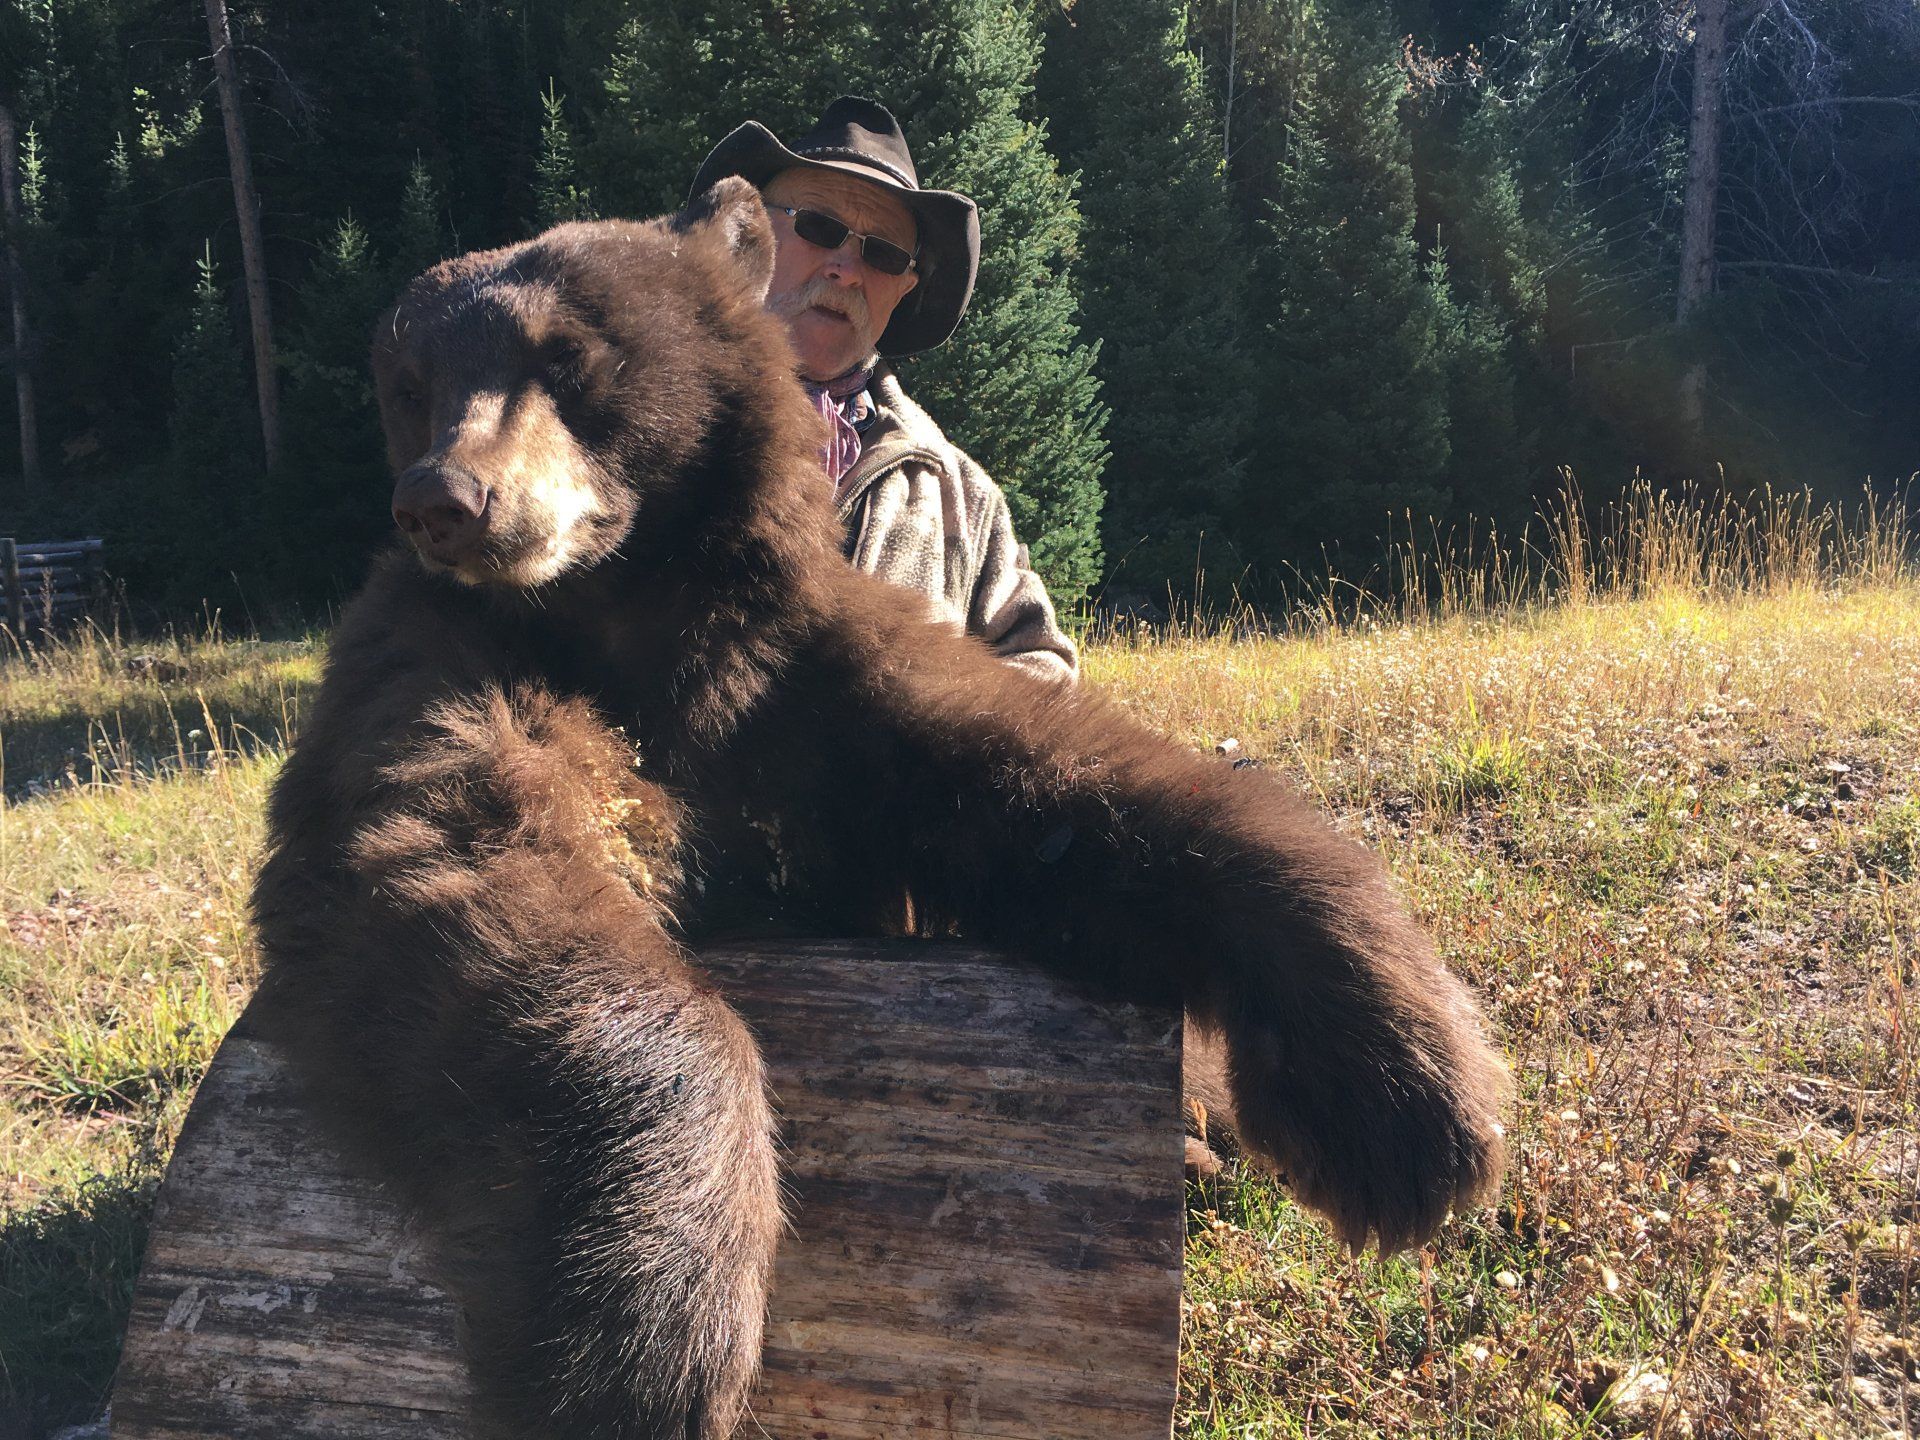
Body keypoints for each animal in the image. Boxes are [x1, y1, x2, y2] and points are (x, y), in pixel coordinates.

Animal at [250, 176, 1509, 1440]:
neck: (636, 614)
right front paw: (647, 1330)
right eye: (412, 387)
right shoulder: (442, 660)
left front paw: (1404, 1097)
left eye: (570, 357)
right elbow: (451, 850)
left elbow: (1048, 771)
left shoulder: (802, 677)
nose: (444, 500)